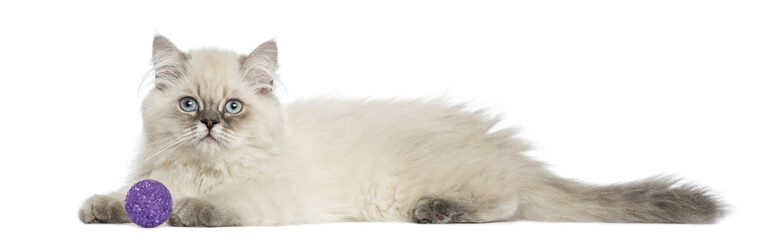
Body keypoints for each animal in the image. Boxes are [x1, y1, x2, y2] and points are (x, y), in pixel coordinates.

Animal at [77, 36, 724, 227]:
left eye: (233, 108)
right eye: (190, 105)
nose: (210, 124)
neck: (202, 172)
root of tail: (506, 148)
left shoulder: (271, 199)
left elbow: (222, 205)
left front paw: (192, 212)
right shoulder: (153, 176)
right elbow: (128, 195)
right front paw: (104, 208)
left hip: (410, 187)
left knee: (509, 202)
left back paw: (440, 212)